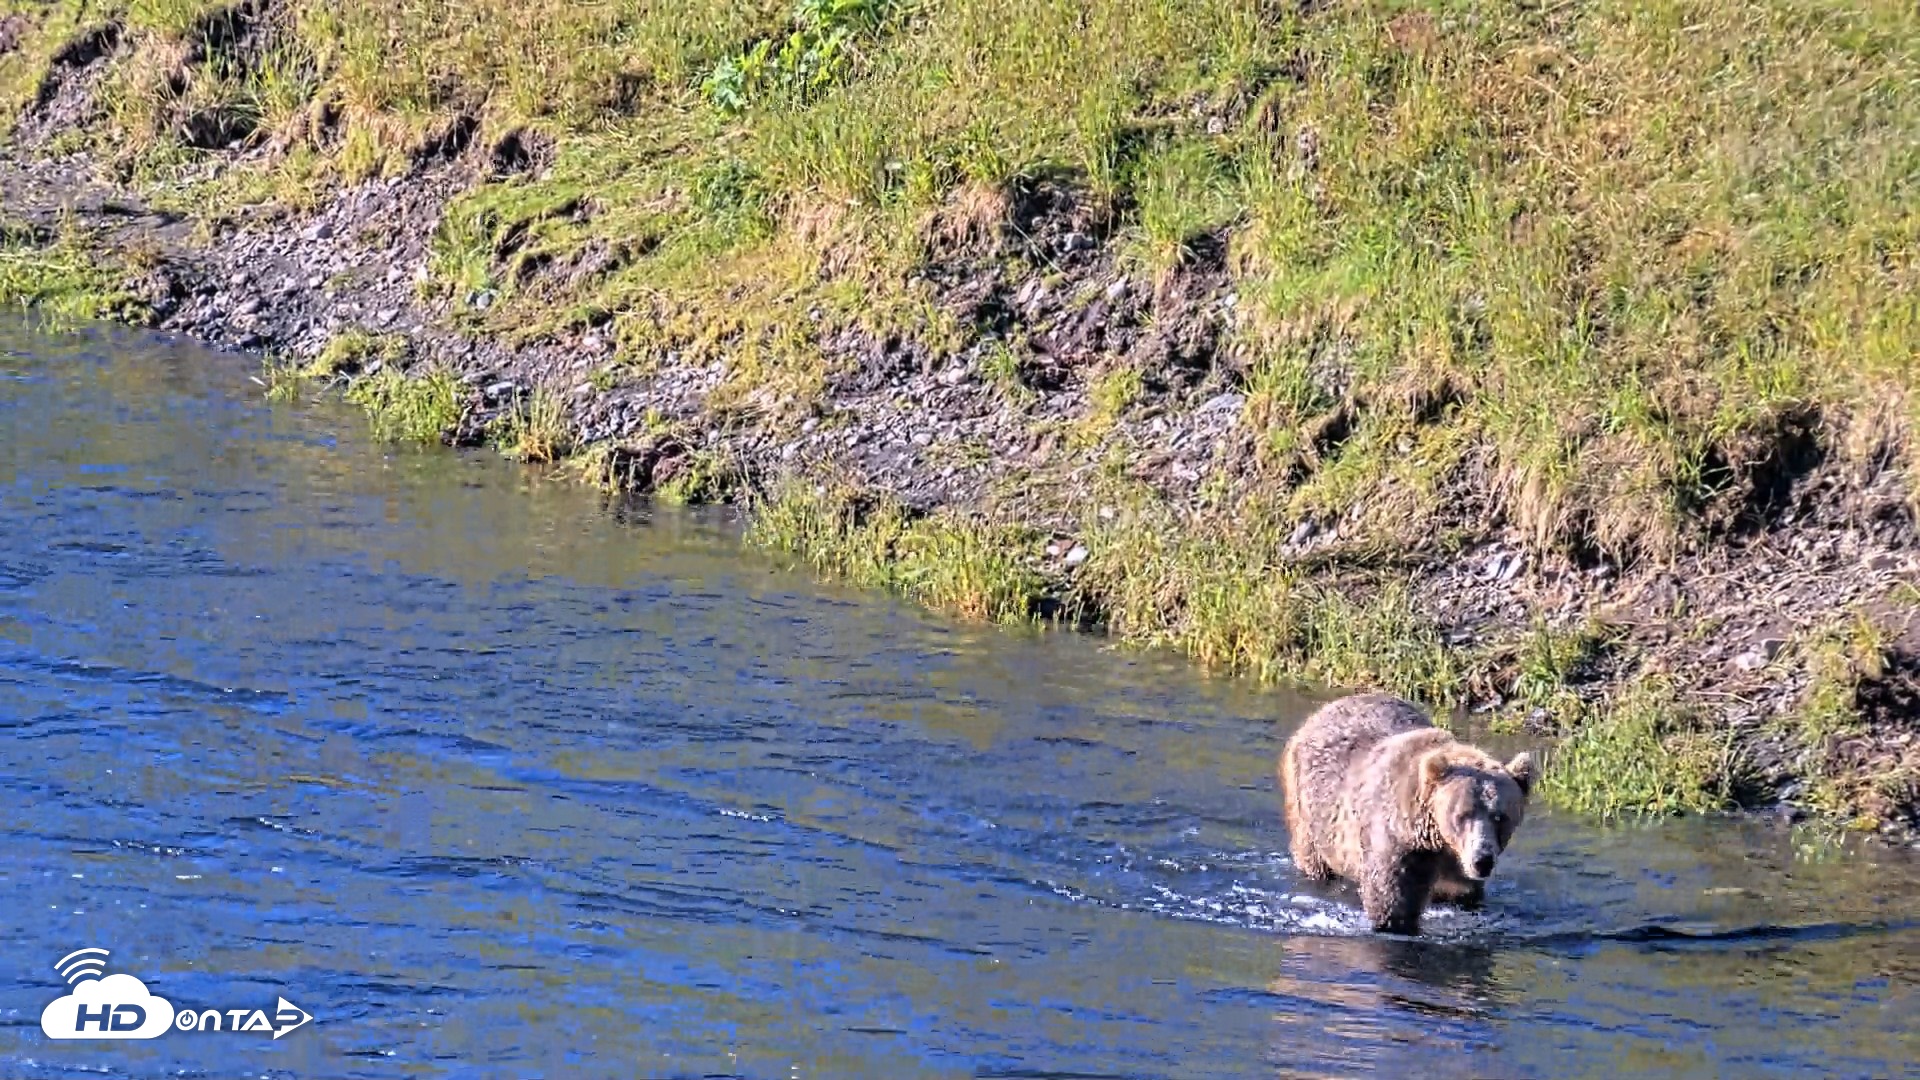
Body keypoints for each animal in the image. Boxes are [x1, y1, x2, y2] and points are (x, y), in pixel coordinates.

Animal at [1279, 692, 1534, 936]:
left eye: (1500, 817)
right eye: (1462, 814)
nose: (1483, 860)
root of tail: (1322, 711)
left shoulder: (1454, 868)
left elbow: (1462, 892)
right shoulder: (1398, 844)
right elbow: (1392, 899)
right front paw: (1395, 922)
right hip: (1310, 810)